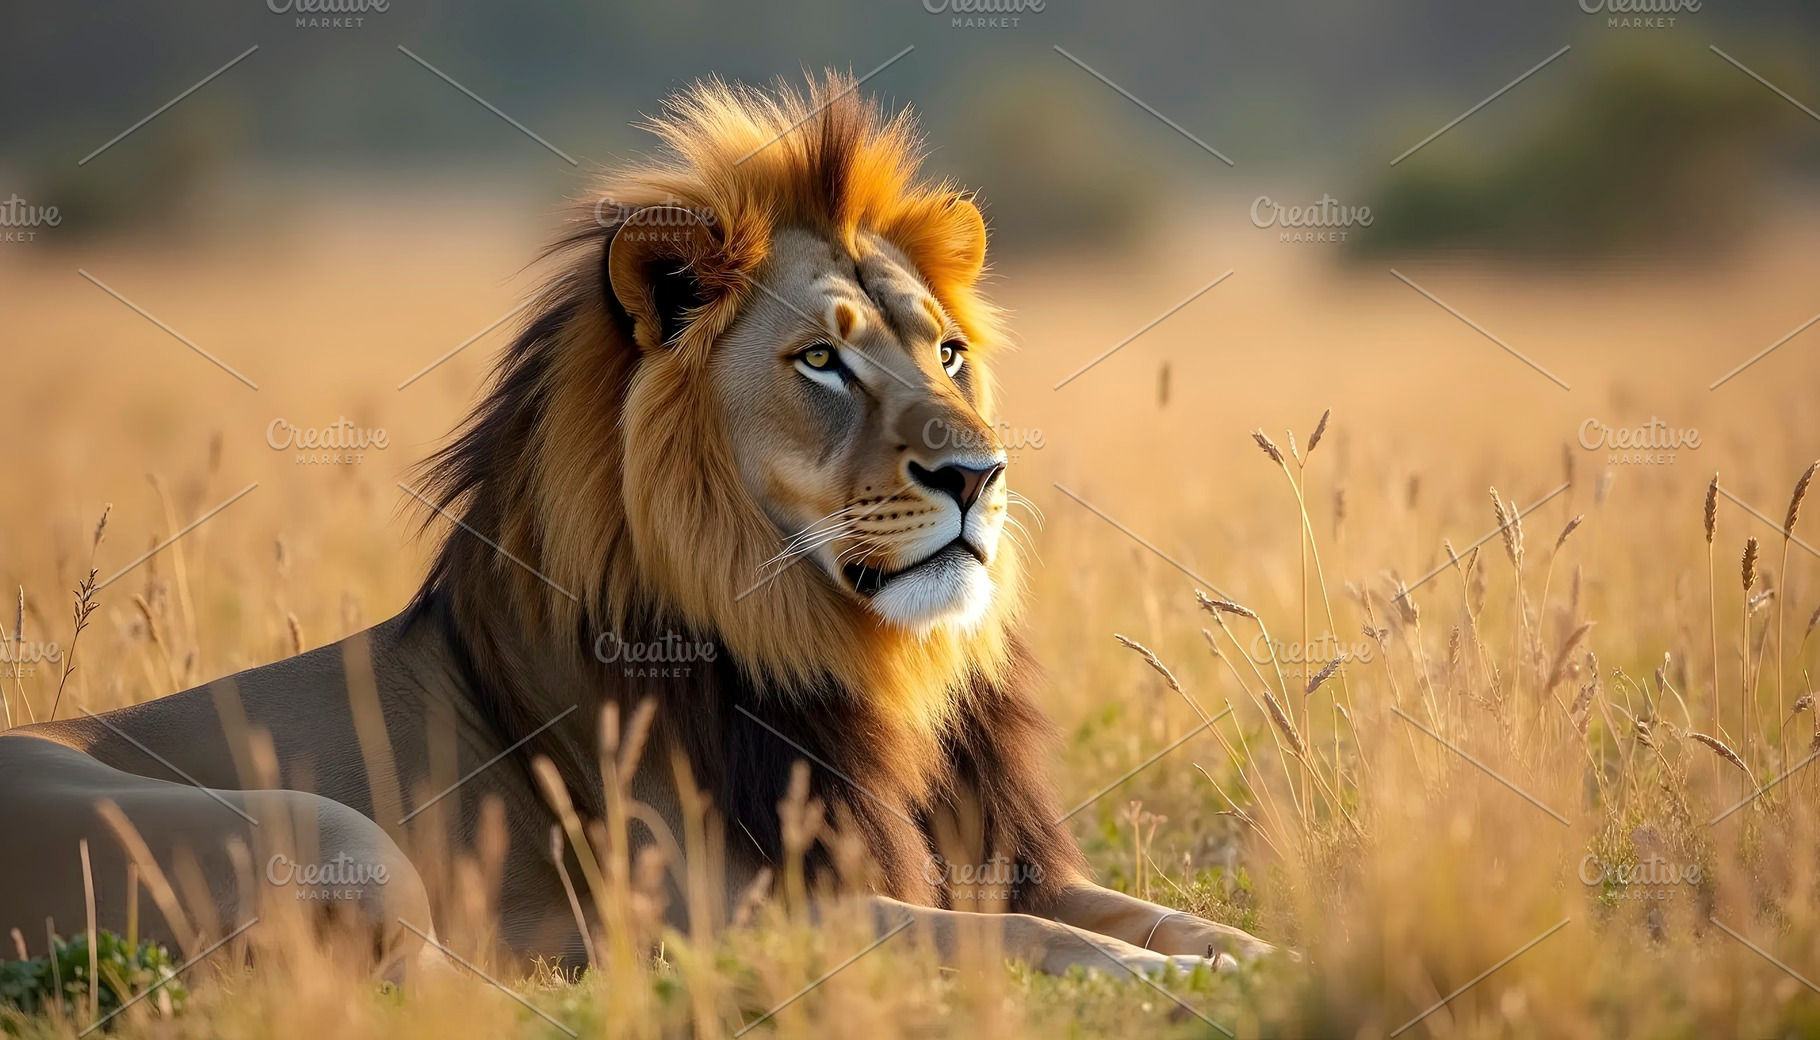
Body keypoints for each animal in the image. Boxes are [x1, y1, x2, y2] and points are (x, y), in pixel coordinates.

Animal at [0, 73, 1275, 980]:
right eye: (821, 360)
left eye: (948, 351)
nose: (978, 472)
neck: (856, 660)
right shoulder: (724, 904)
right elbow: (1001, 935)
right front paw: (1144, 978)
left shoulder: (987, 854)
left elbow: (1145, 910)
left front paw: (1245, 951)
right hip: (331, 833)